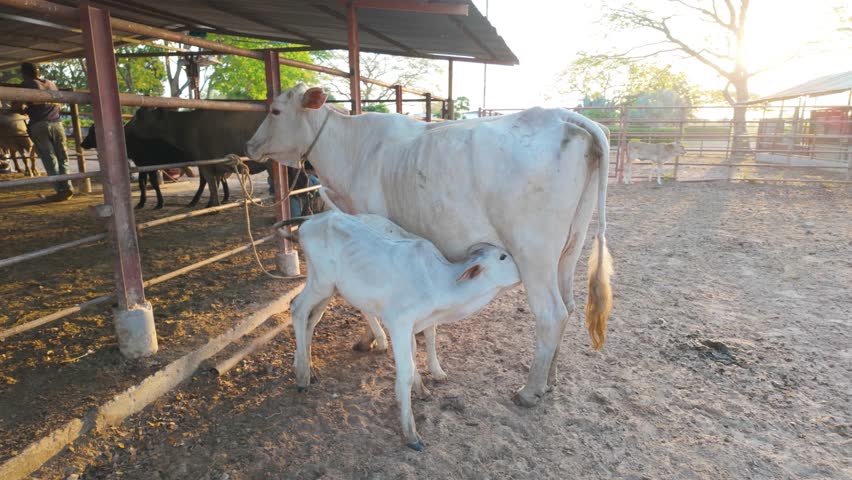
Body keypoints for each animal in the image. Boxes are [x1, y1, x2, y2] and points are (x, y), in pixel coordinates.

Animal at [247, 84, 614, 408]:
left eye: (275, 110)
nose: (249, 145)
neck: (353, 149)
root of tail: (564, 117)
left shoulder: (372, 224)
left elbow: (365, 299)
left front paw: (375, 340)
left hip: (533, 251)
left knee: (551, 313)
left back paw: (530, 389)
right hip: (570, 248)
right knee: (569, 306)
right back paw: (550, 379)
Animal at [282, 206, 520, 450]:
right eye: (502, 257)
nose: (523, 270)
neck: (438, 283)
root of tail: (313, 218)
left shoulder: (415, 324)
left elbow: (415, 356)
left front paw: (421, 389)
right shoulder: (399, 323)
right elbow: (405, 370)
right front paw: (411, 433)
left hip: (327, 287)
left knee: (312, 319)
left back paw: (308, 367)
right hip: (321, 283)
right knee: (297, 308)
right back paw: (302, 377)